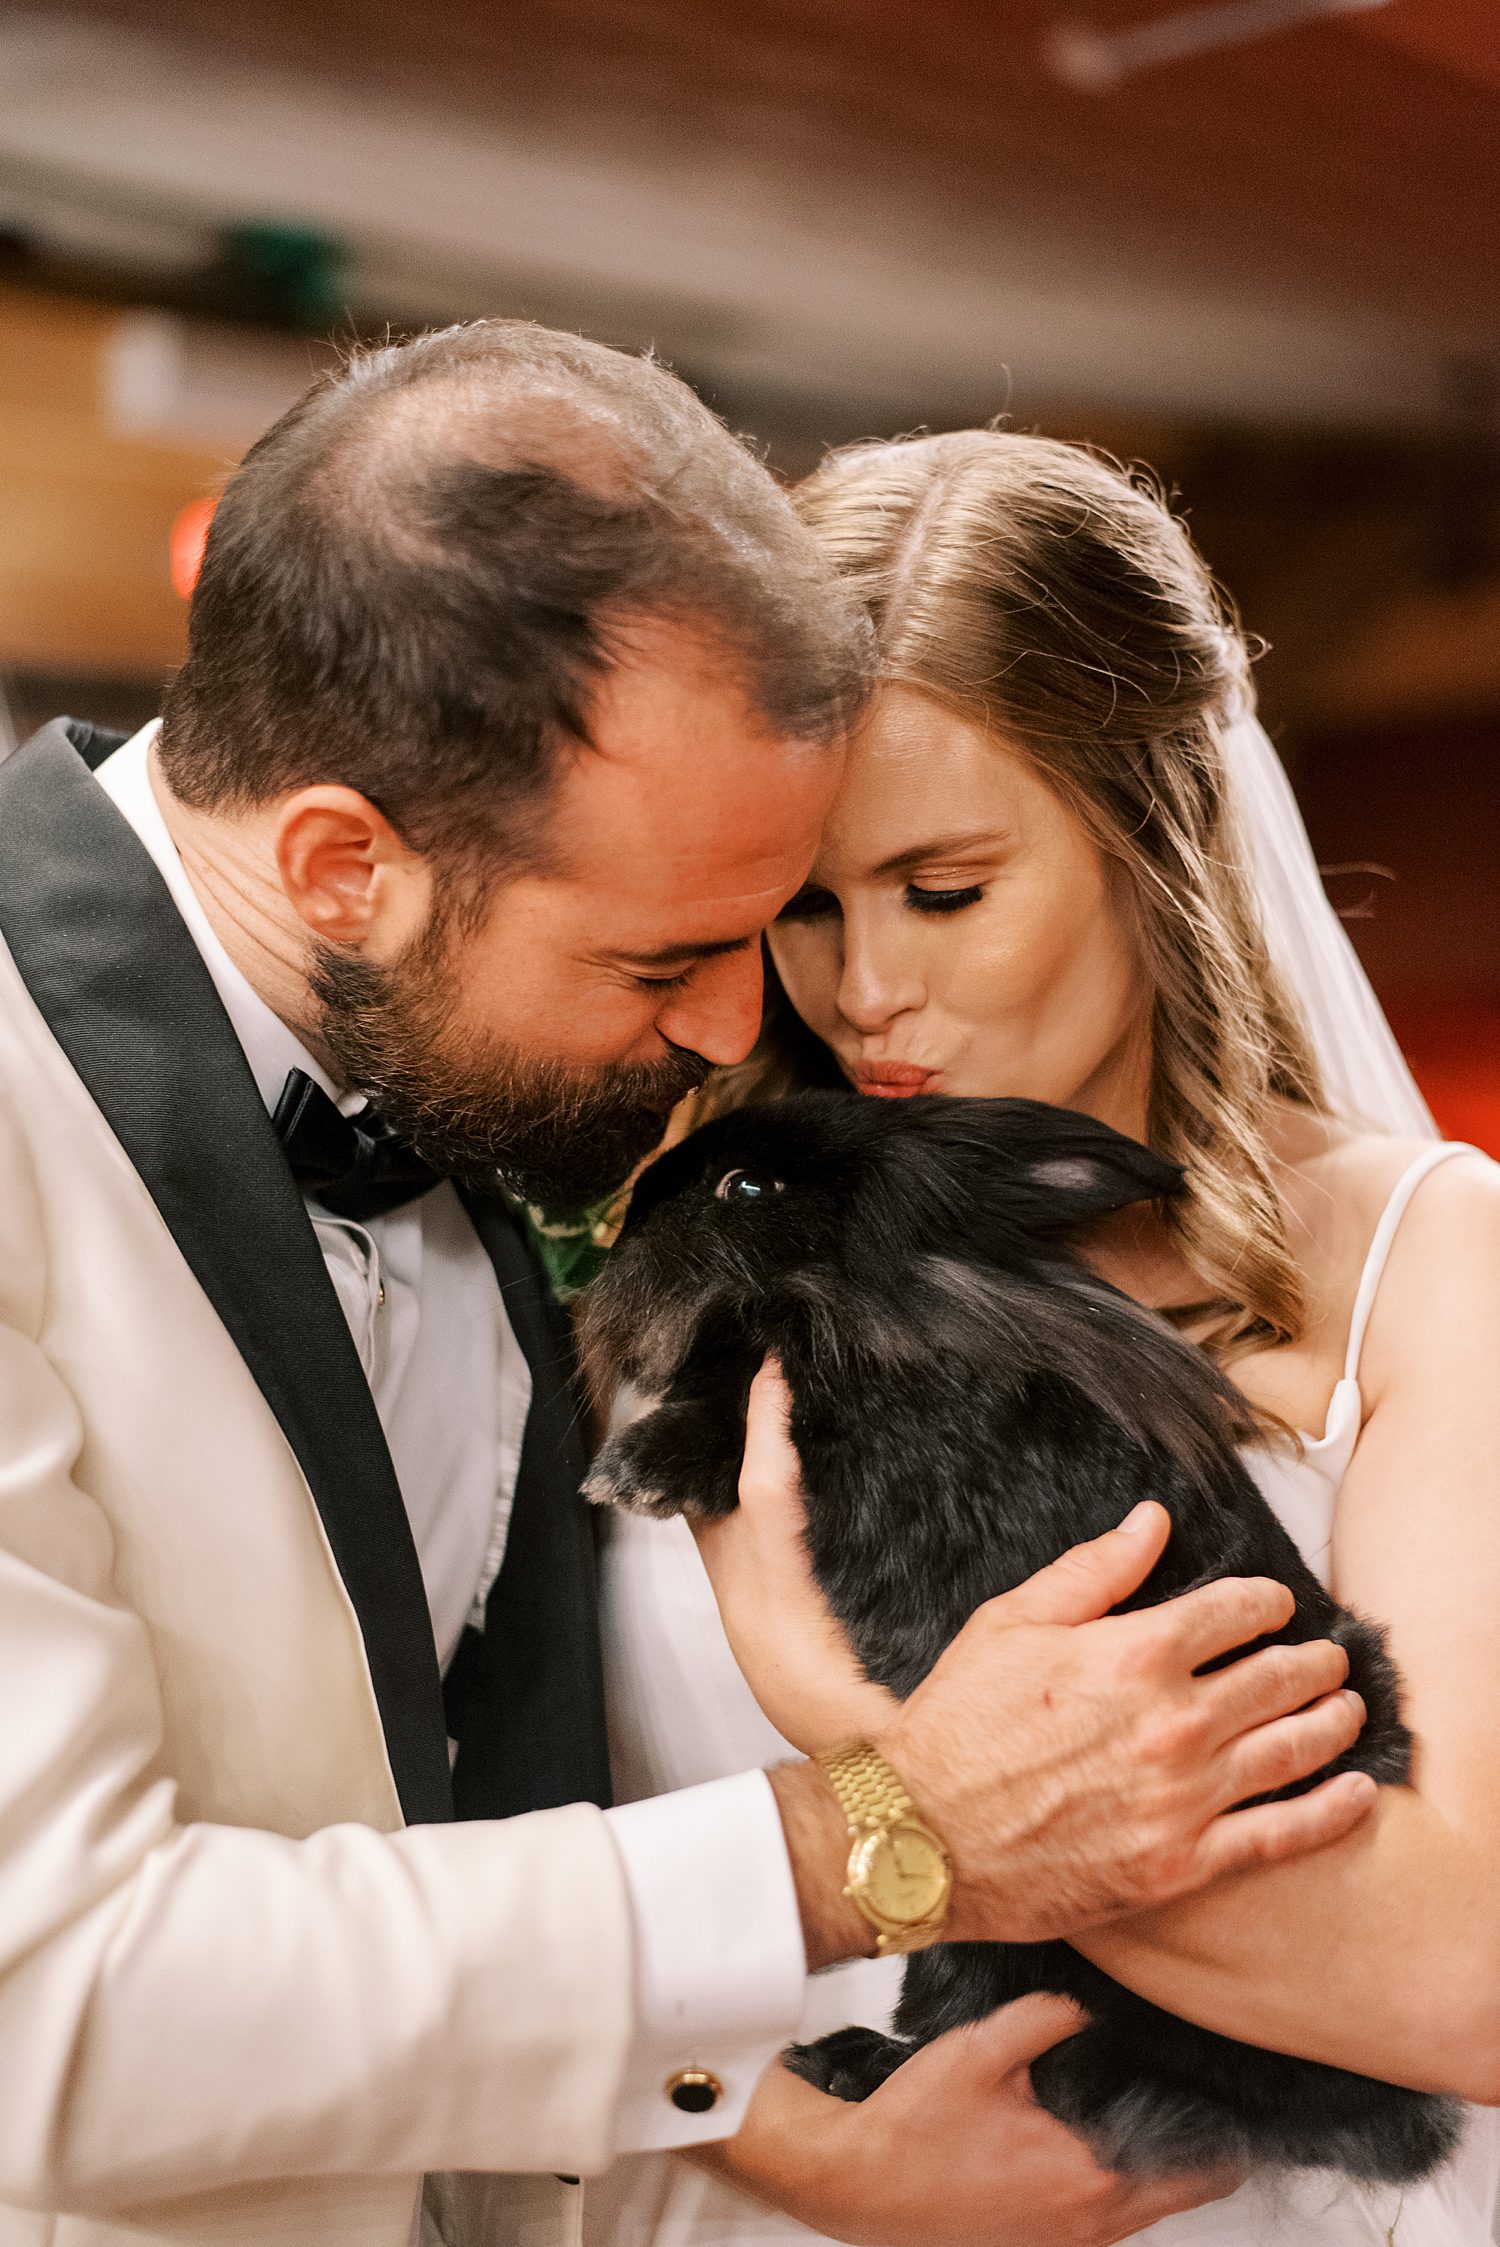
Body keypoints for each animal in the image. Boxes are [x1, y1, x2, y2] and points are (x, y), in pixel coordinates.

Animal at [579, 1087, 1455, 2175]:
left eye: (746, 1186)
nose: (627, 1216)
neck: (884, 1286)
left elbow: (747, 1398)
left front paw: (635, 1467)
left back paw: (849, 2064)